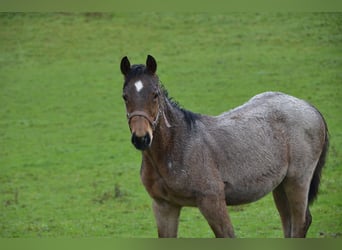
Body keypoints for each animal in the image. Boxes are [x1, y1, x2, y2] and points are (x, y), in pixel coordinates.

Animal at [120, 55, 328, 238]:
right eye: (125, 96)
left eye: (155, 95)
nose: (141, 138)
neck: (177, 147)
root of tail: (310, 107)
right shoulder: (164, 206)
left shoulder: (212, 201)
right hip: (280, 185)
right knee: (289, 223)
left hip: (297, 180)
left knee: (301, 223)